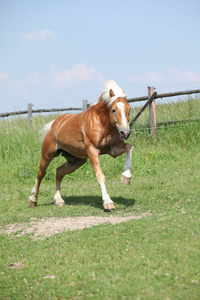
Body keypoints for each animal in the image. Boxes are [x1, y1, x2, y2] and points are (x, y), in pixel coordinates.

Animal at [28, 79, 133, 211]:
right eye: (113, 110)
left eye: (129, 109)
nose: (125, 132)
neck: (102, 124)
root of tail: (54, 125)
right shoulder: (92, 151)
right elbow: (100, 175)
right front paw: (108, 202)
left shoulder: (112, 149)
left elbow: (129, 147)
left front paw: (126, 177)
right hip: (47, 155)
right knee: (41, 173)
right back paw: (33, 199)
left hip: (76, 161)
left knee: (59, 171)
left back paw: (59, 200)